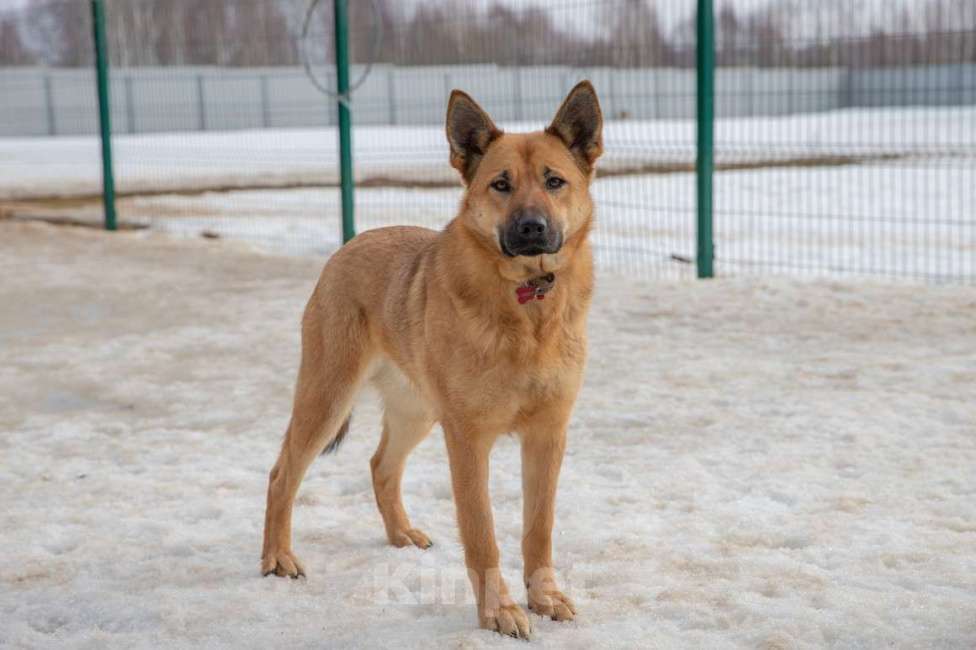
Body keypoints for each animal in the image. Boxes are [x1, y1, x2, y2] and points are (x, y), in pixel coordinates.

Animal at [264, 81, 608, 636]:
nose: (532, 228)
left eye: (554, 181)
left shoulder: (547, 435)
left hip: (417, 411)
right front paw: (499, 612)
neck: (527, 303)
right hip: (328, 398)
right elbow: (482, 532)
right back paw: (277, 558)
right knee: (282, 475)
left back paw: (400, 534)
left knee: (381, 465)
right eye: (500, 185)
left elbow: (539, 529)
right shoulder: (468, 439)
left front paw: (545, 597)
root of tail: (351, 243)